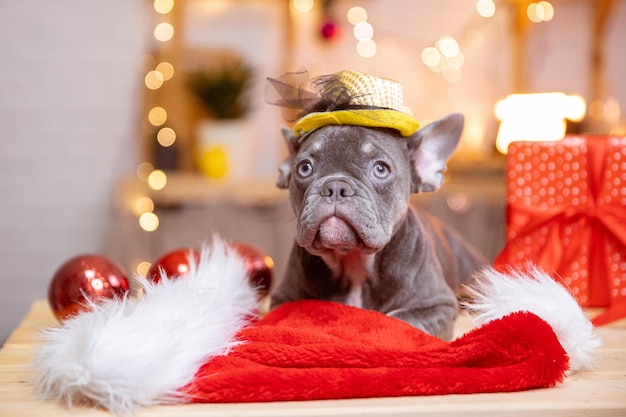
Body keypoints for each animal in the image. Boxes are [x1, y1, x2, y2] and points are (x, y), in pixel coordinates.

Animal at [270, 113, 486, 338]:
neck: (354, 260)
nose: (336, 186)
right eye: (304, 168)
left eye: (381, 169)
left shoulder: (438, 305)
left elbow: (400, 320)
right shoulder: (283, 298)